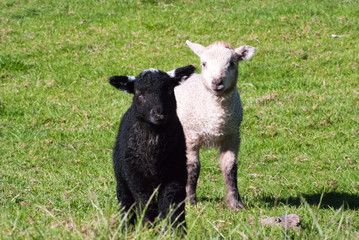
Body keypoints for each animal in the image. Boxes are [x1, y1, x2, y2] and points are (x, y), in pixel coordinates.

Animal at [108, 64, 195, 228]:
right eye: (139, 93)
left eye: (169, 90)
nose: (159, 114)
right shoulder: (136, 176)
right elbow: (146, 204)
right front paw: (148, 228)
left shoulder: (175, 173)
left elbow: (171, 203)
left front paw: (176, 229)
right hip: (121, 178)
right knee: (126, 203)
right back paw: (126, 228)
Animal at [175, 40, 258, 209]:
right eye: (204, 63)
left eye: (232, 63)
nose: (217, 82)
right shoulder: (190, 136)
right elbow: (193, 167)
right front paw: (190, 201)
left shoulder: (233, 137)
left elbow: (230, 168)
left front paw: (235, 203)